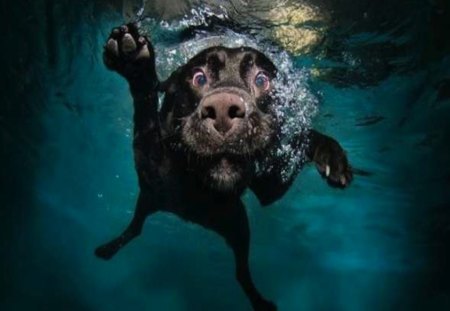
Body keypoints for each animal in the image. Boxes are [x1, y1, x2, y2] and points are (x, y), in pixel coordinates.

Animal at [96, 23, 354, 311]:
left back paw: (259, 301)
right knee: (136, 227)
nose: (221, 109)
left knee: (240, 271)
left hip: (238, 226)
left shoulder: (271, 186)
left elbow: (303, 137)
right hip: (154, 201)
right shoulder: (152, 165)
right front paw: (135, 63)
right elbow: (146, 116)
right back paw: (109, 248)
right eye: (198, 78)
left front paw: (331, 156)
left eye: (262, 80)